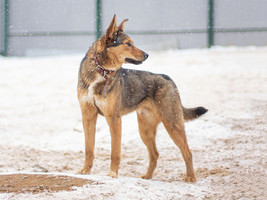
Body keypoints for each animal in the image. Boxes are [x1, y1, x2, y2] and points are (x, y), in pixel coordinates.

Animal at [76, 14, 208, 183]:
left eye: (132, 43)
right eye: (128, 44)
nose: (147, 55)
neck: (101, 71)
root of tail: (168, 78)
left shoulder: (114, 119)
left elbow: (115, 152)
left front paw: (113, 174)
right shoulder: (88, 116)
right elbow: (89, 149)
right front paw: (85, 170)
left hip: (172, 124)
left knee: (187, 152)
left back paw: (190, 177)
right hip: (145, 130)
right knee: (155, 154)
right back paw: (147, 176)